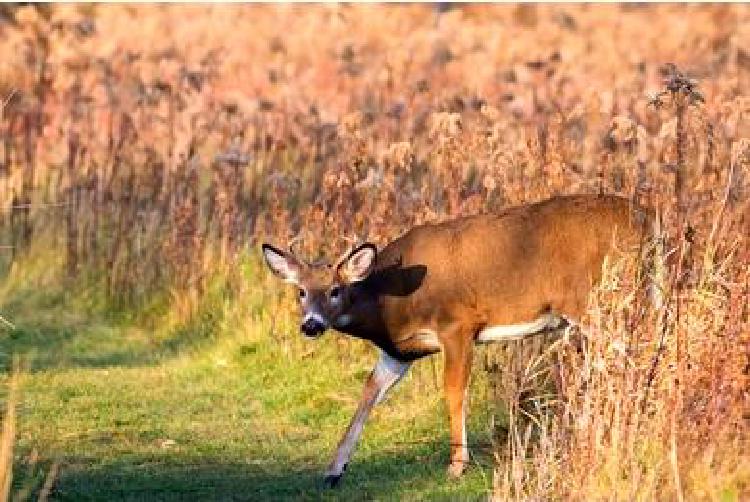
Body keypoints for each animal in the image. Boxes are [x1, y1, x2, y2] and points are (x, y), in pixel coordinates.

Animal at [262, 194, 656, 488]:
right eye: (300, 292)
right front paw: (333, 470)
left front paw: (456, 464)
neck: (391, 306)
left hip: (597, 300)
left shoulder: (458, 325)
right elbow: (369, 393)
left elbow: (453, 391)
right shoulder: (399, 352)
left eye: (335, 290)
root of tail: (649, 220)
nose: (311, 325)